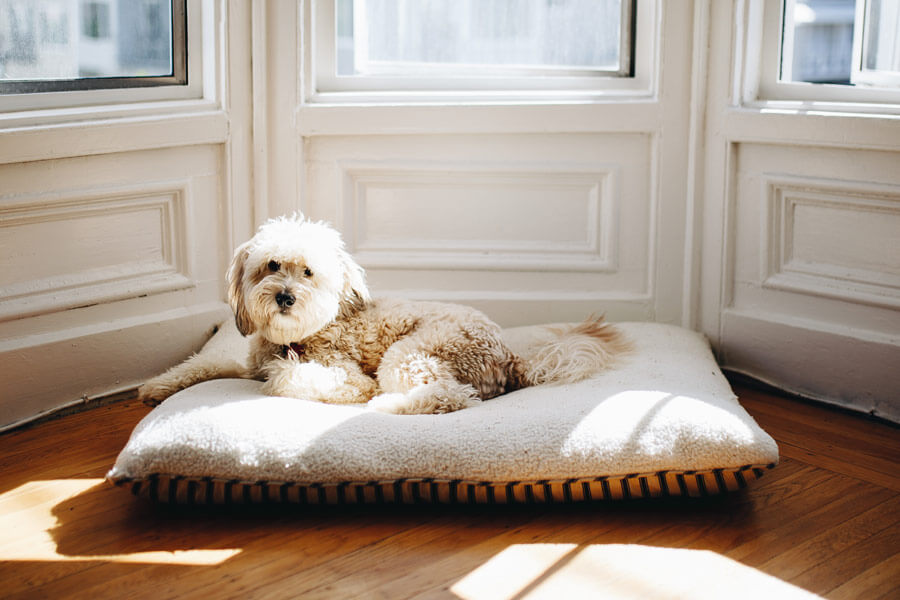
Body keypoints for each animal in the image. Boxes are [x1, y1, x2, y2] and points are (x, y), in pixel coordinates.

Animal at [137, 213, 624, 414]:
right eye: (272, 265)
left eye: (308, 272)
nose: (285, 297)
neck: (295, 338)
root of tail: (509, 356)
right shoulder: (244, 363)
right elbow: (204, 364)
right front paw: (158, 385)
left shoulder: (346, 376)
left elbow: (289, 379)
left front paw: (290, 376)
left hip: (410, 354)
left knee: (450, 396)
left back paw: (388, 405)